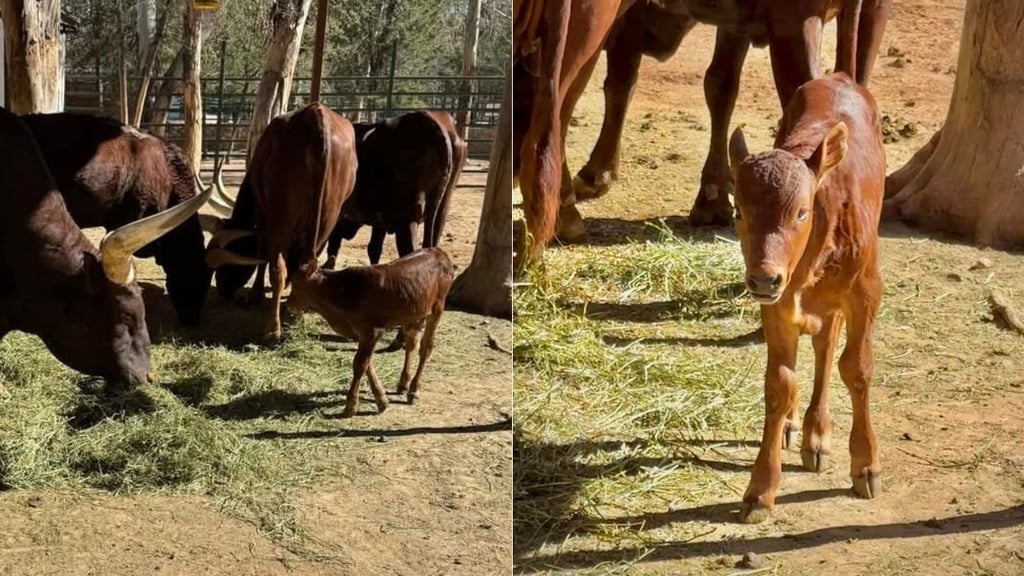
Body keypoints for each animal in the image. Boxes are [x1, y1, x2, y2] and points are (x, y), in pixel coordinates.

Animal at [284, 249, 452, 414]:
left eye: (295, 284)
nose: (288, 304)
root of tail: (439, 252)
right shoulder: (360, 333)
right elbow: (367, 362)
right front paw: (382, 400)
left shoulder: (373, 331)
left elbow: (360, 363)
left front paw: (351, 405)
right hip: (413, 313)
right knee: (412, 344)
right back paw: (403, 384)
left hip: (437, 309)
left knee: (426, 348)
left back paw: (414, 391)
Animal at [729, 73, 888, 522]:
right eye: (738, 211)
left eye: (801, 212)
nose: (762, 278)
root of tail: (839, 77)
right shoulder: (778, 304)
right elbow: (780, 384)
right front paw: (760, 490)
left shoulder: (866, 291)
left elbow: (856, 368)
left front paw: (866, 465)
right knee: (820, 344)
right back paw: (798, 428)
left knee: (827, 347)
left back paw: (817, 434)